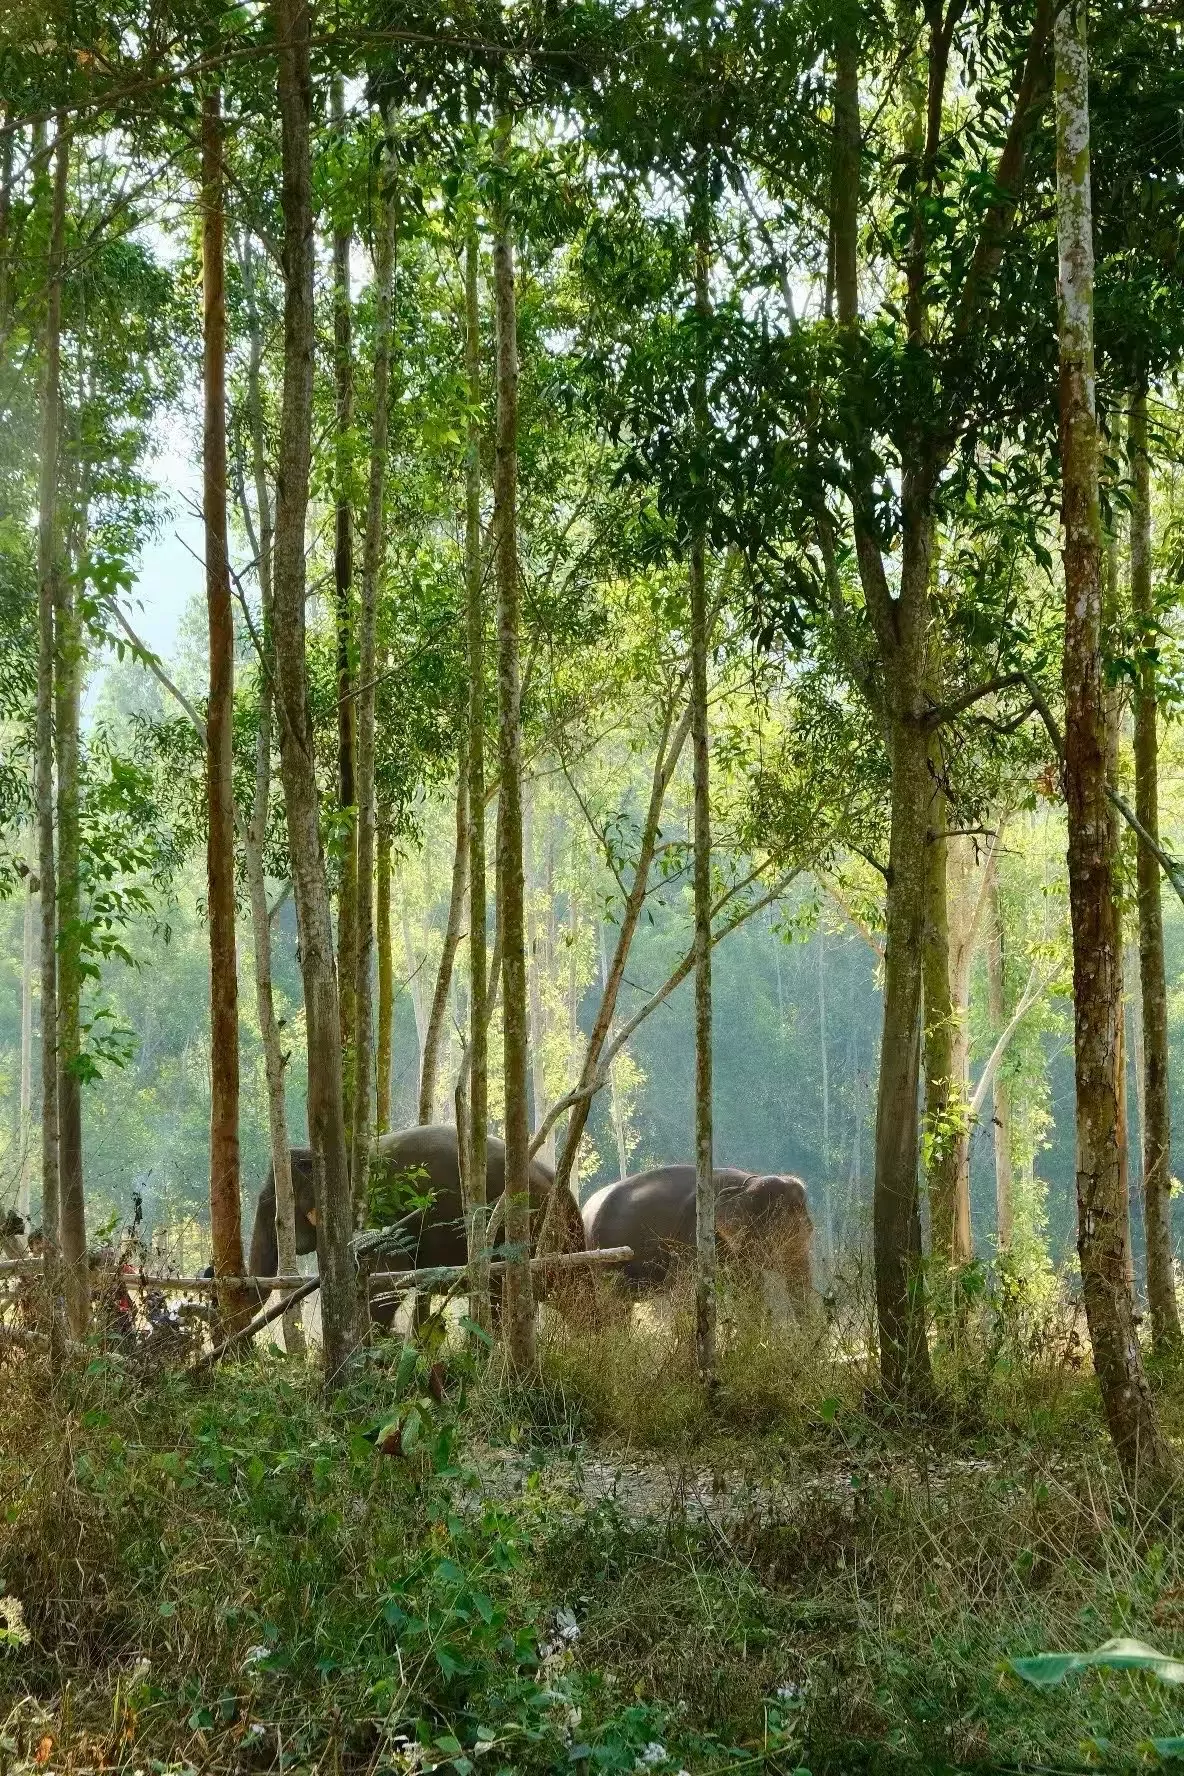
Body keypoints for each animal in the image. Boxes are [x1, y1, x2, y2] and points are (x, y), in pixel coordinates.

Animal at [581, 1164, 815, 1315]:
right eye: (780, 1236)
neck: (747, 1182)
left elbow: (747, 1290)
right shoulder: (693, 1234)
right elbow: (685, 1288)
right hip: (601, 1259)